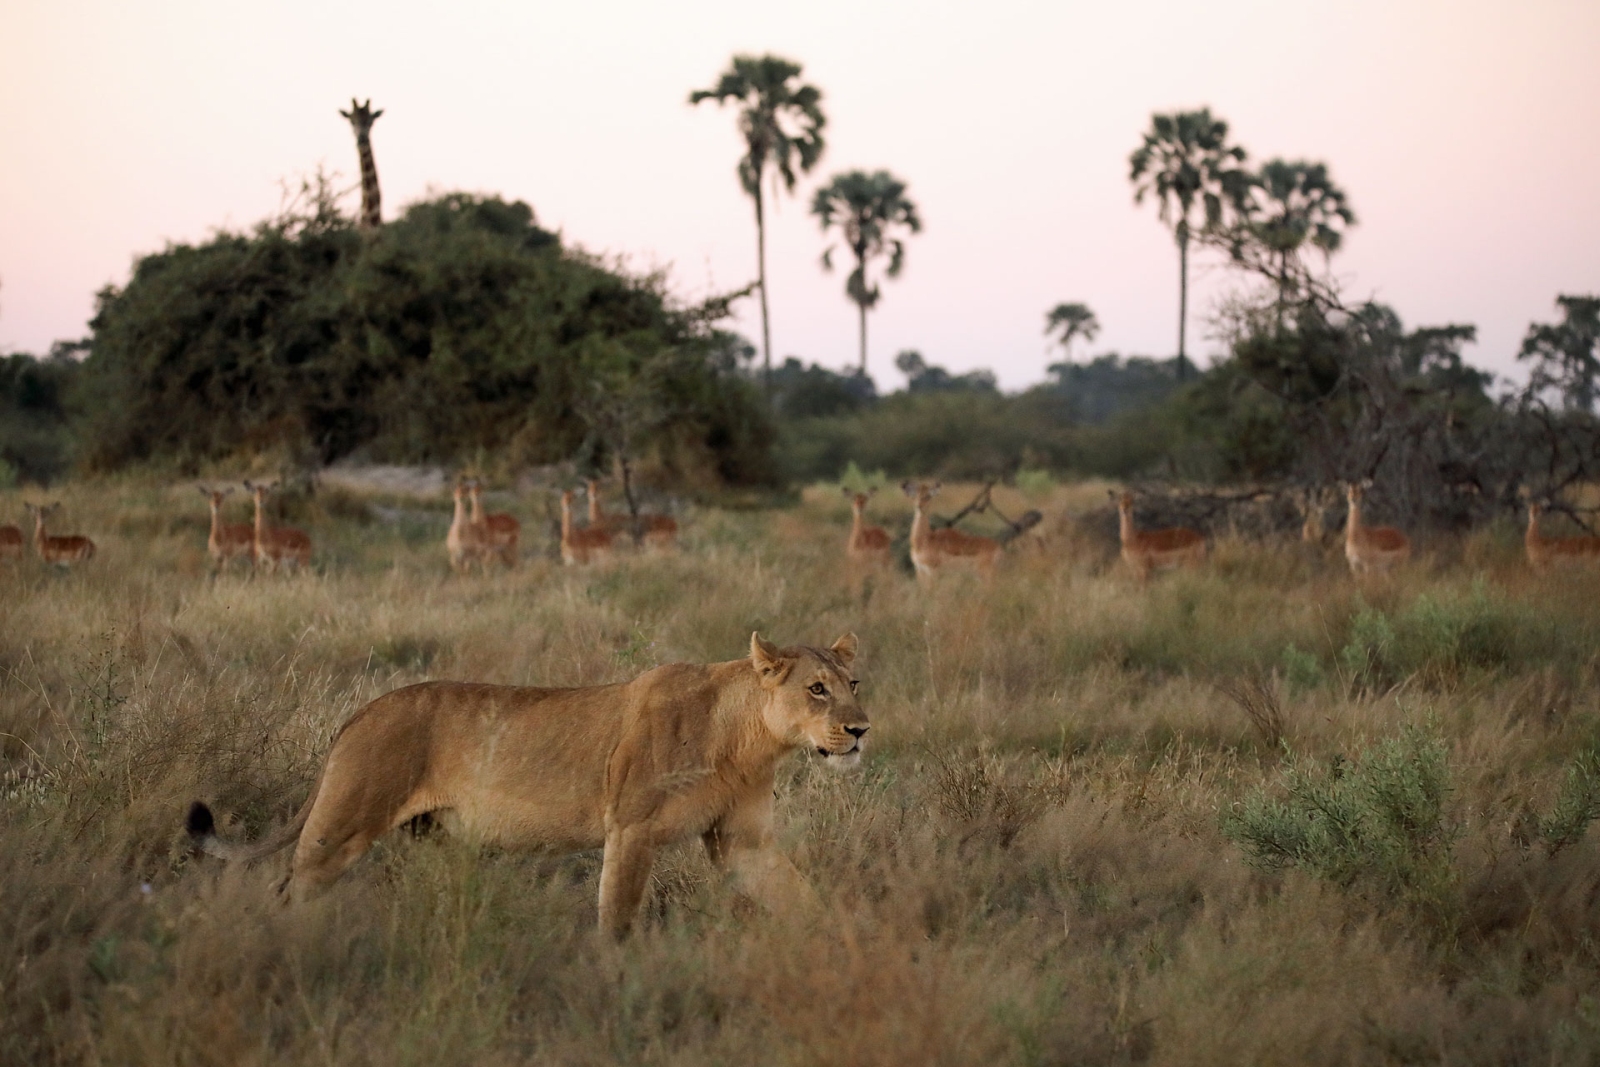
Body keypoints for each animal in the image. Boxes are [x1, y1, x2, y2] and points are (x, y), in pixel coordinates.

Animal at [187, 632, 868, 938]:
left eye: (852, 684)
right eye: (816, 689)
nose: (861, 730)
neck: (748, 740)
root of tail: (361, 713)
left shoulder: (743, 843)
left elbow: (803, 900)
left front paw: (846, 948)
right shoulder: (632, 828)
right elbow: (617, 915)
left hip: (423, 836)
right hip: (342, 825)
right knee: (285, 889)